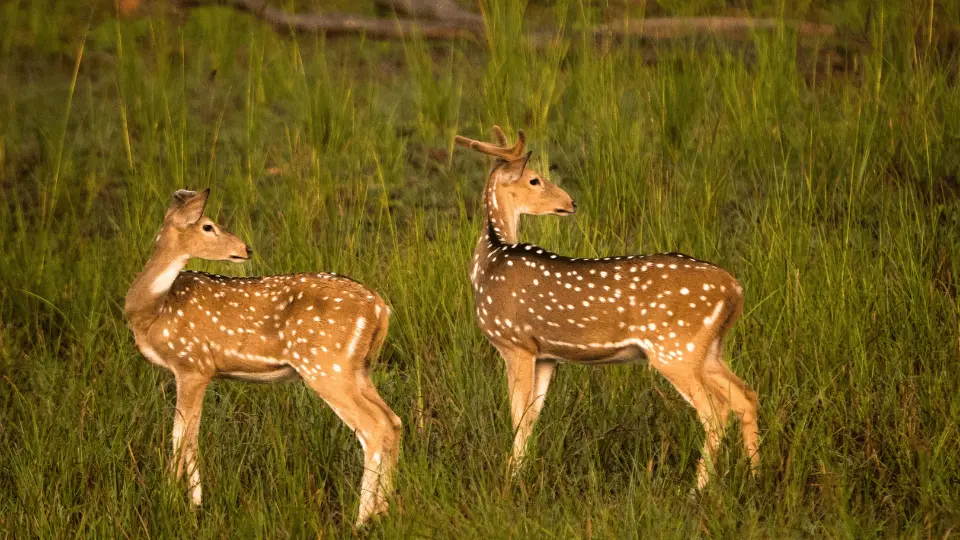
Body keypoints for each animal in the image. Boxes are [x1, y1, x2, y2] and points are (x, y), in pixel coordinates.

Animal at [124, 189, 401, 526]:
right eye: (208, 226)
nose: (246, 248)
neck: (151, 310)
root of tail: (380, 308)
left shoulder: (192, 364)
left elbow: (181, 436)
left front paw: (175, 503)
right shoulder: (197, 371)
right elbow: (190, 435)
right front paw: (195, 503)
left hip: (326, 366)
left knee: (374, 427)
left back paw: (360, 520)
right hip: (358, 369)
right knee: (393, 421)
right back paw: (383, 511)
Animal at [454, 126, 759, 490]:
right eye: (534, 179)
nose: (571, 203)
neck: (490, 261)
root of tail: (736, 290)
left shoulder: (516, 344)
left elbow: (518, 417)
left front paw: (510, 483)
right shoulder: (545, 356)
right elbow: (530, 418)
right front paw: (521, 476)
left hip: (675, 349)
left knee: (715, 411)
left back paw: (696, 490)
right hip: (709, 350)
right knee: (746, 396)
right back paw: (756, 476)